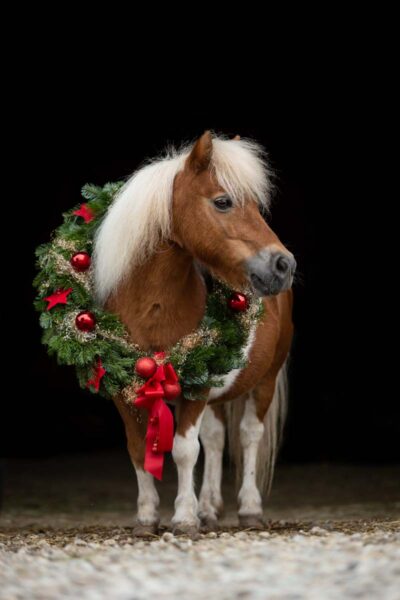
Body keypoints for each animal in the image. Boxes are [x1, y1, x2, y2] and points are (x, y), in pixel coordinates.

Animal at [93, 131, 294, 536]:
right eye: (223, 201)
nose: (284, 265)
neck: (153, 306)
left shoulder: (195, 387)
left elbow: (185, 451)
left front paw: (183, 518)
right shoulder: (123, 391)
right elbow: (139, 449)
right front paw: (147, 518)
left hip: (264, 379)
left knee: (248, 435)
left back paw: (248, 508)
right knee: (215, 439)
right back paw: (210, 508)